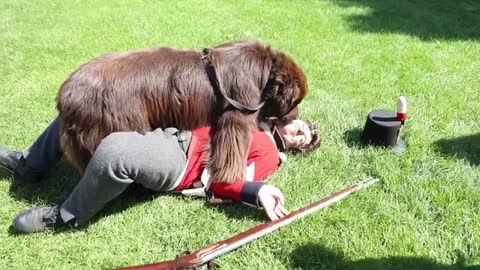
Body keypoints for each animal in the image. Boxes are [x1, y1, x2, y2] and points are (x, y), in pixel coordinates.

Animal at [56, 40, 308, 184]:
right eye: (294, 102)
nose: (296, 116)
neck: (266, 71)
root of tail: (65, 97)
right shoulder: (241, 102)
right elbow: (233, 145)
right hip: (114, 123)